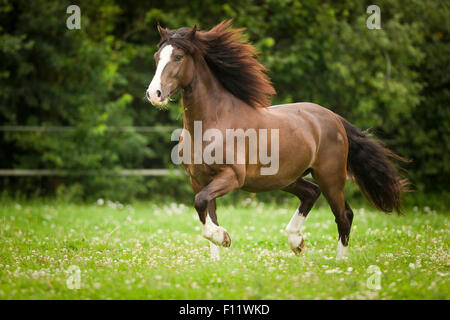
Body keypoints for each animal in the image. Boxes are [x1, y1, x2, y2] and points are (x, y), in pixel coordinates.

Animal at [145, 20, 408, 260]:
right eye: (157, 56)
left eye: (178, 56)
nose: (154, 94)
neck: (211, 124)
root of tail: (333, 118)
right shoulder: (199, 180)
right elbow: (206, 213)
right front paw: (217, 255)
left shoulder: (232, 176)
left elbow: (200, 204)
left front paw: (224, 237)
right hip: (285, 177)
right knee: (311, 193)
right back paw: (296, 242)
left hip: (330, 176)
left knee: (344, 215)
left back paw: (339, 262)